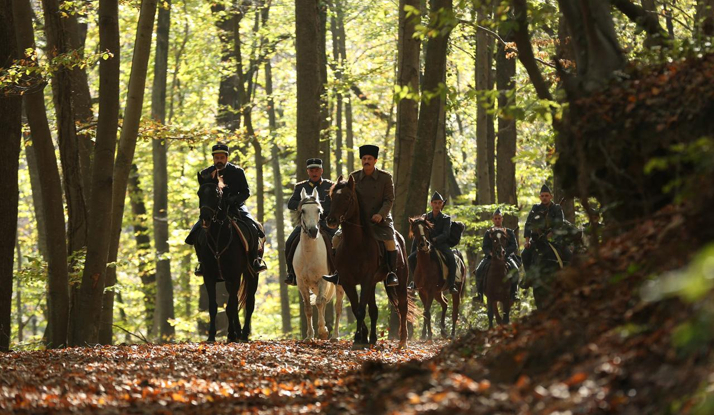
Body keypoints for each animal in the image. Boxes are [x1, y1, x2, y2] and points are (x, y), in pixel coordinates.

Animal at [196, 184, 258, 342]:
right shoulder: (209, 277)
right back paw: (237, 332)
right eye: (199, 193)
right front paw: (212, 336)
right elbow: (214, 306)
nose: (205, 218)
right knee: (235, 301)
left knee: (249, 302)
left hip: (252, 274)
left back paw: (243, 334)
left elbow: (230, 307)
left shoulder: (235, 276)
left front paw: (231, 334)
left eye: (216, 195)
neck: (218, 238)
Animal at [290, 188, 344, 342]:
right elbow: (308, 307)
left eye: (318, 210)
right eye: (303, 210)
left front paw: (323, 331)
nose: (313, 231)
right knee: (324, 302)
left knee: (337, 306)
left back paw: (334, 336)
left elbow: (319, 302)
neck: (309, 254)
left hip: (339, 283)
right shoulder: (301, 283)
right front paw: (309, 336)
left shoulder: (322, 279)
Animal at [324, 174, 414, 350]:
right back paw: (372, 338)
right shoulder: (347, 281)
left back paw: (402, 341)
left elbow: (360, 310)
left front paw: (358, 339)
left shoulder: (366, 280)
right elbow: (356, 308)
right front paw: (361, 338)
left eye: (347, 197)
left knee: (402, 306)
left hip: (400, 280)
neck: (355, 245)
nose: (331, 220)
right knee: (373, 310)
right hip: (373, 284)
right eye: (332, 196)